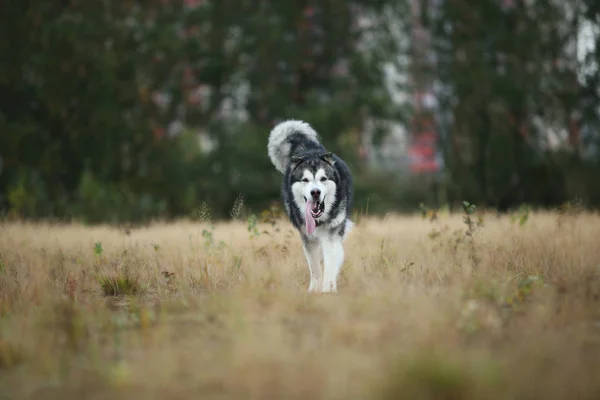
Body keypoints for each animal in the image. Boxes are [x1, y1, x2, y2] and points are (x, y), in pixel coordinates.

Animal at [268, 120, 352, 292]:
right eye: (305, 180)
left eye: (323, 178)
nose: (315, 192)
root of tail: (308, 148)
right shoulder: (307, 236)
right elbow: (315, 267)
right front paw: (315, 290)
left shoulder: (332, 234)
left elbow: (331, 262)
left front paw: (328, 290)